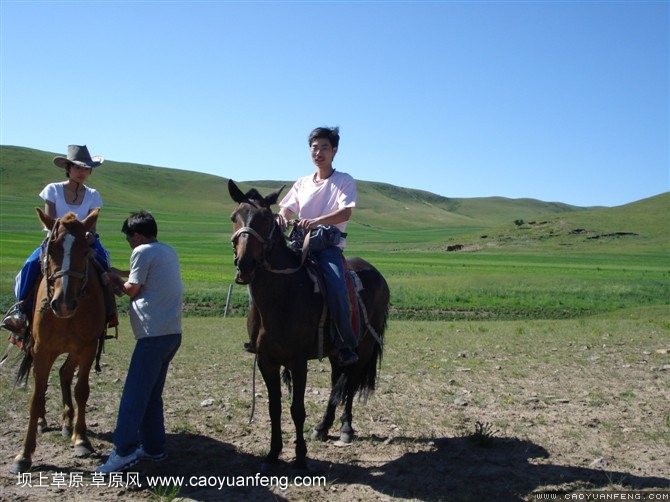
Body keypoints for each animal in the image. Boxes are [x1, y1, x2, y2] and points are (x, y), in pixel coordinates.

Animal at [11, 208, 106, 474]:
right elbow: (35, 398)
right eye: (51, 249)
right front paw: (24, 455)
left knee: (64, 373)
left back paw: (67, 425)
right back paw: (44, 422)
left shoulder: (87, 347)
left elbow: (82, 391)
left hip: (73, 350)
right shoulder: (42, 350)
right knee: (43, 384)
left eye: (85, 250)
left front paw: (81, 440)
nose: (63, 303)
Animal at [230, 180, 392, 470]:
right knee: (337, 381)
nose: (244, 264)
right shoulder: (266, 361)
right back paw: (323, 427)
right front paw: (273, 454)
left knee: (350, 384)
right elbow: (274, 408)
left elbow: (297, 409)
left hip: (363, 347)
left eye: (267, 219)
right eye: (234, 217)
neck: (281, 296)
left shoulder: (297, 361)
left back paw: (345, 428)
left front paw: (300, 457)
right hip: (337, 351)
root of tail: (376, 274)